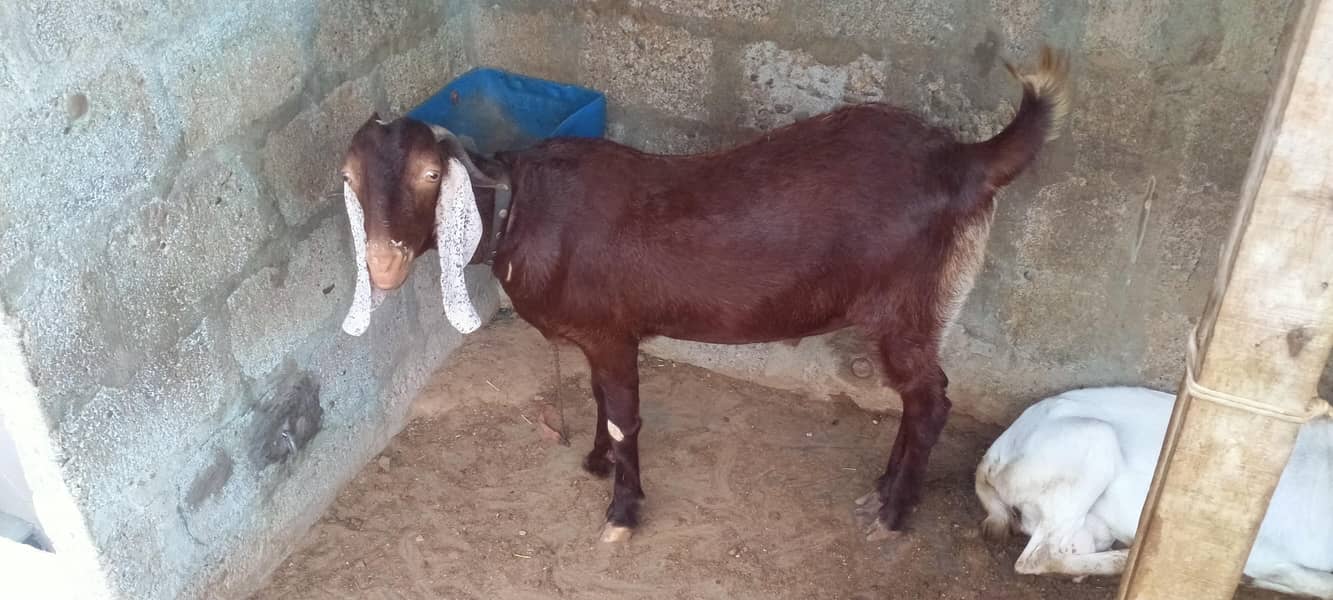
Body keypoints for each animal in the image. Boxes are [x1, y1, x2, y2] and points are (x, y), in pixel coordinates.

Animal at [338, 47, 1070, 543]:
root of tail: (966, 161)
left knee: (930, 400)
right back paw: (882, 490)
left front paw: (622, 513)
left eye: (432, 174)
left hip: (909, 305)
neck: (524, 209)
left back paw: (892, 511)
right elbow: (599, 400)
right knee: (917, 401)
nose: (381, 265)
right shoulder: (601, 336)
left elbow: (622, 415)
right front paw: (596, 464)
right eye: (348, 176)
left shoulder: (611, 332)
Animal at [976, 386, 1333, 599]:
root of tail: (996, 450)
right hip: (1096, 439)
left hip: (1089, 525)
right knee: (1035, 559)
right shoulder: (1256, 552)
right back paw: (1124, 559)